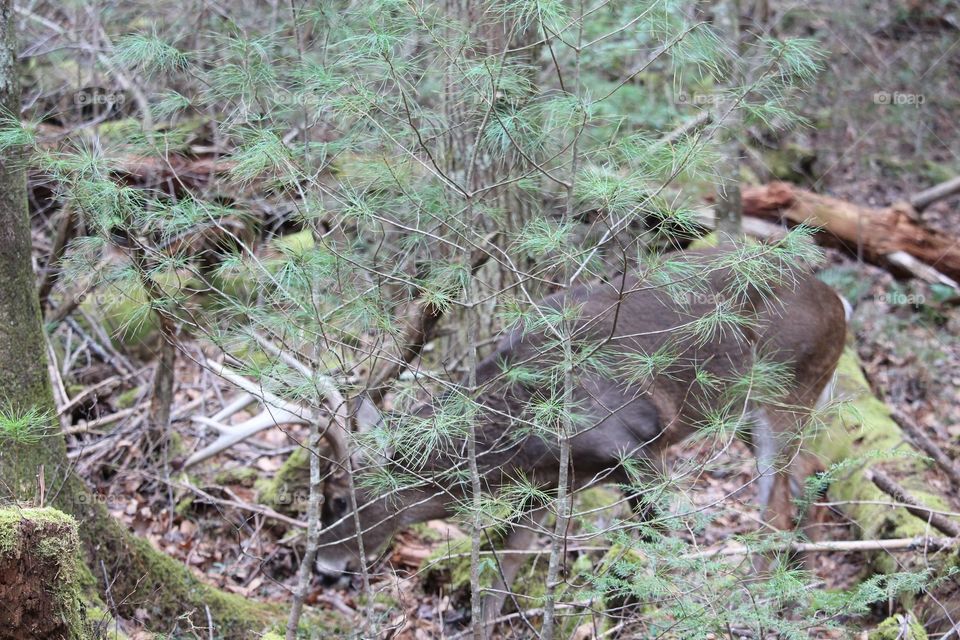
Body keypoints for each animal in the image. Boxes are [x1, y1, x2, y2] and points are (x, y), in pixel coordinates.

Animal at [310, 249, 848, 624]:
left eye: (338, 498)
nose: (323, 567)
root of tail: (837, 301)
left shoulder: (635, 446)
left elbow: (663, 544)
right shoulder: (549, 480)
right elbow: (502, 559)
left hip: (785, 388)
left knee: (775, 508)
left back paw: (755, 602)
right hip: (745, 413)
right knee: (810, 471)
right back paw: (801, 589)